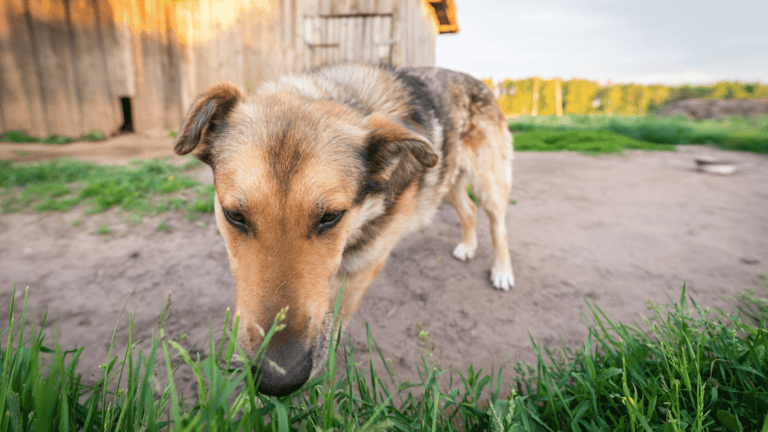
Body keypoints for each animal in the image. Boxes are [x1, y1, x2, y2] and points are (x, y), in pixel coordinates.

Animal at [171, 62, 512, 396]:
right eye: (235, 215)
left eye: (331, 216)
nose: (276, 380)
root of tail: (475, 79)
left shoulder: (363, 267)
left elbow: (336, 321)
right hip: (448, 179)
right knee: (468, 210)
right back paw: (467, 246)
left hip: (486, 182)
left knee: (498, 222)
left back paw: (502, 271)